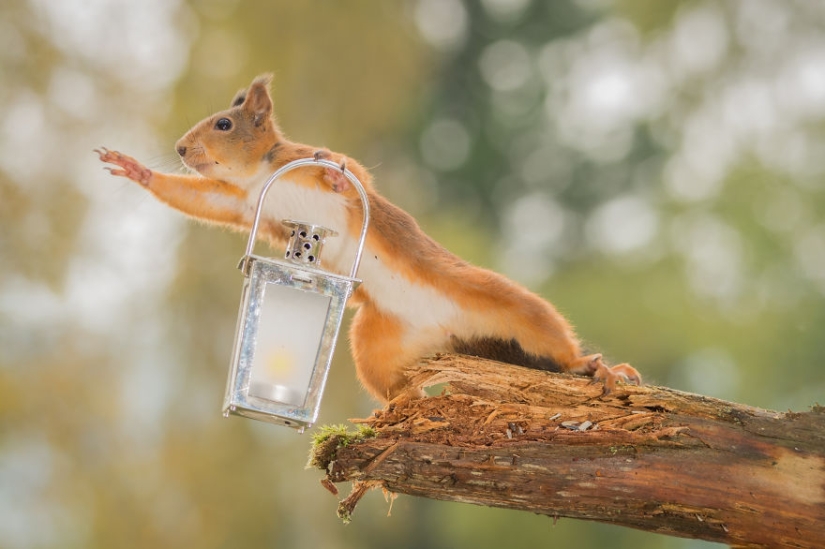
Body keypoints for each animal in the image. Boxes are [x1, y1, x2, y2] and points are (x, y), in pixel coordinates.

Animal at [95, 73, 636, 400]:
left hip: (512, 305)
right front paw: (138, 170)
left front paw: (335, 176)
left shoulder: (312, 165)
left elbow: (352, 173)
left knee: (558, 345)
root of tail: (446, 332)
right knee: (393, 385)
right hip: (374, 341)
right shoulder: (241, 203)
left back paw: (596, 368)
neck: (261, 172)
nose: (180, 148)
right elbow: (200, 201)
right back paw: (400, 404)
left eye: (224, 123)